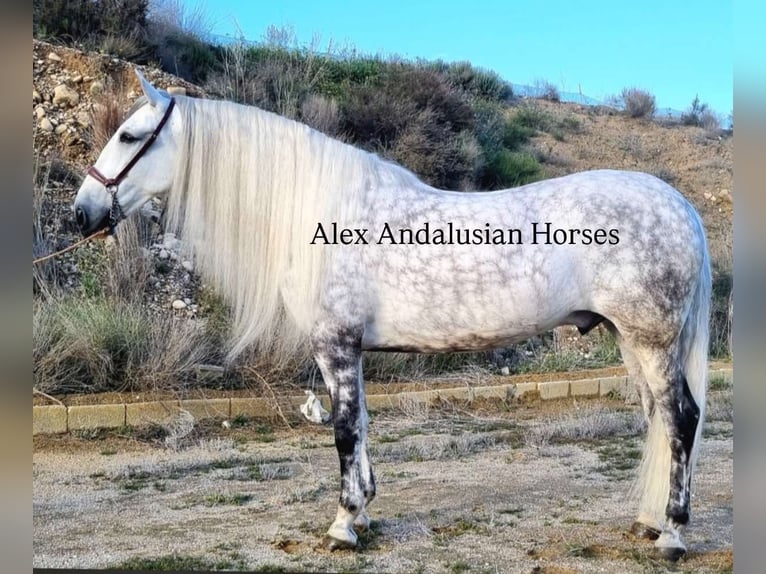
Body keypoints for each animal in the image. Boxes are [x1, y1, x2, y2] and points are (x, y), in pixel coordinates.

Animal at [73, 72, 712, 564]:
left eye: (129, 135)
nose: (83, 213)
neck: (322, 213)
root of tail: (680, 206)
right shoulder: (351, 350)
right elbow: (361, 427)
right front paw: (364, 513)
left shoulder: (335, 344)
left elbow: (344, 430)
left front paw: (342, 524)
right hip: (631, 339)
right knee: (658, 418)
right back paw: (648, 521)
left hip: (651, 340)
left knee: (681, 418)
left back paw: (673, 535)